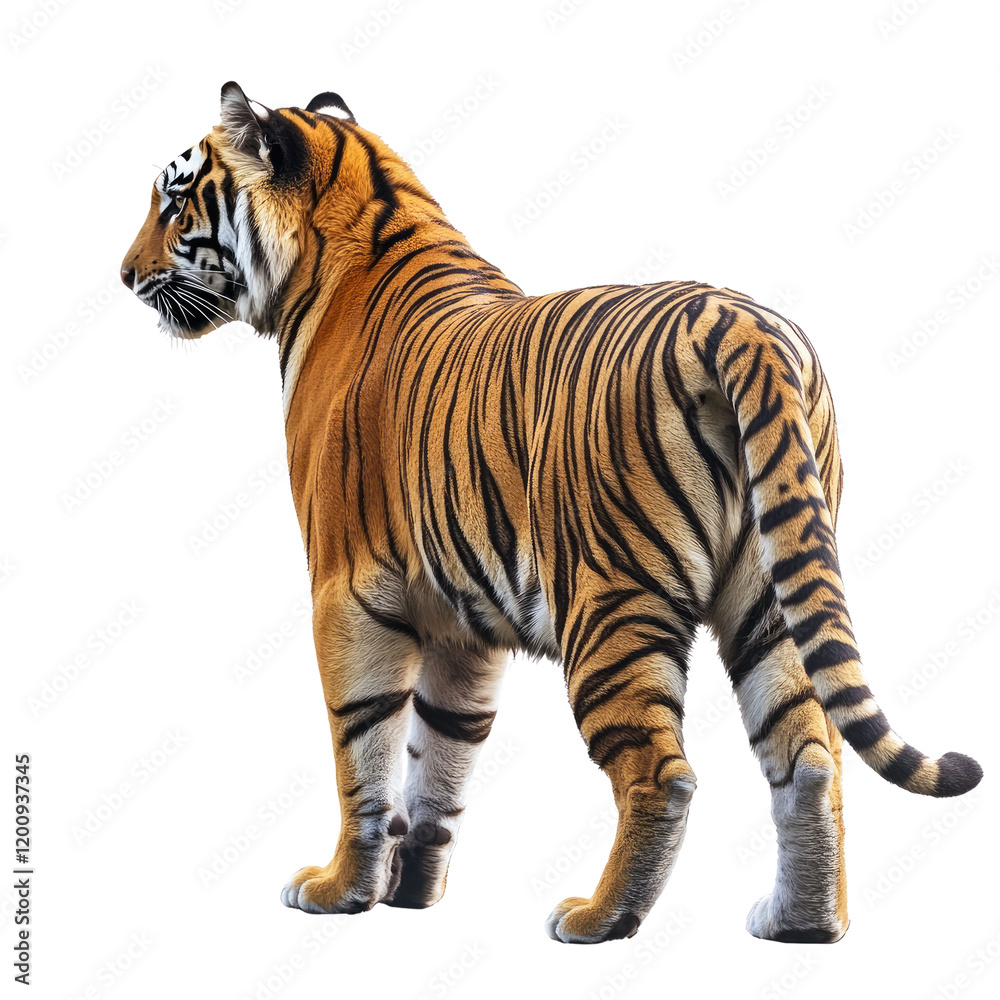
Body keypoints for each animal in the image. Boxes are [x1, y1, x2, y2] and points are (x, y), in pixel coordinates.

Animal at [121, 82, 982, 944]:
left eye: (172, 202)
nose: (125, 275)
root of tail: (735, 319)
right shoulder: (459, 621)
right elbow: (442, 752)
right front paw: (411, 891)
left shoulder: (347, 592)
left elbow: (362, 747)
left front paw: (340, 889)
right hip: (772, 592)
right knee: (809, 757)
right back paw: (799, 922)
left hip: (610, 602)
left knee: (663, 773)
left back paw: (601, 916)